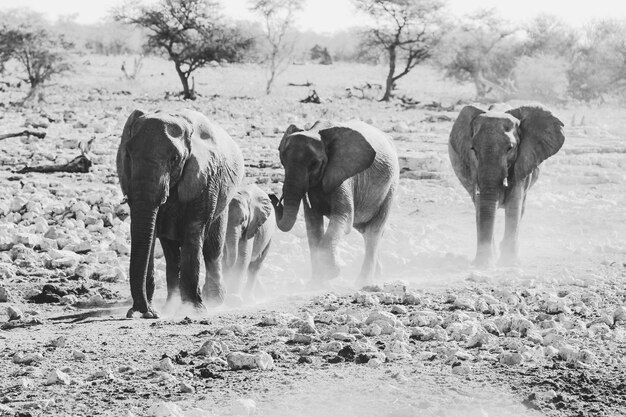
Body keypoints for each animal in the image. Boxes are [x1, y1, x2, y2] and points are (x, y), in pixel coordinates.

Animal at [116, 109, 243, 316]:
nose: (144, 312)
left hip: (223, 198)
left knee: (212, 247)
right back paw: (170, 305)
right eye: (128, 155)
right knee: (171, 252)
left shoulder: (205, 179)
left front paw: (193, 310)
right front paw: (151, 311)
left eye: (174, 159)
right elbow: (151, 234)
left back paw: (213, 300)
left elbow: (194, 231)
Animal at [270, 118, 398, 284]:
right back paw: (377, 276)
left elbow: (343, 217)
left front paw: (331, 272)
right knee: (365, 230)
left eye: (314, 164)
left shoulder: (343, 175)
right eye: (283, 161)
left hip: (391, 186)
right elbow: (312, 223)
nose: (272, 196)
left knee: (373, 232)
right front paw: (316, 281)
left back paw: (363, 282)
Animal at [446, 104, 564, 266]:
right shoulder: (473, 167)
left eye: (510, 148)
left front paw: (509, 263)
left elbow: (514, 204)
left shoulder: (523, 160)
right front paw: (484, 263)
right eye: (473, 149)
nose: (482, 263)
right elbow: (481, 204)